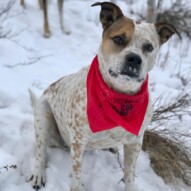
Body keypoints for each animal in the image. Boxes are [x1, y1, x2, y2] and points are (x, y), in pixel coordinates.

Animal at [27, 1, 180, 191]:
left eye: (149, 47)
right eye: (118, 39)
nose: (134, 59)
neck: (118, 95)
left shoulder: (135, 142)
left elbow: (129, 174)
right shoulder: (78, 141)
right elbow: (76, 173)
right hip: (43, 114)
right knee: (41, 151)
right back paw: (38, 173)